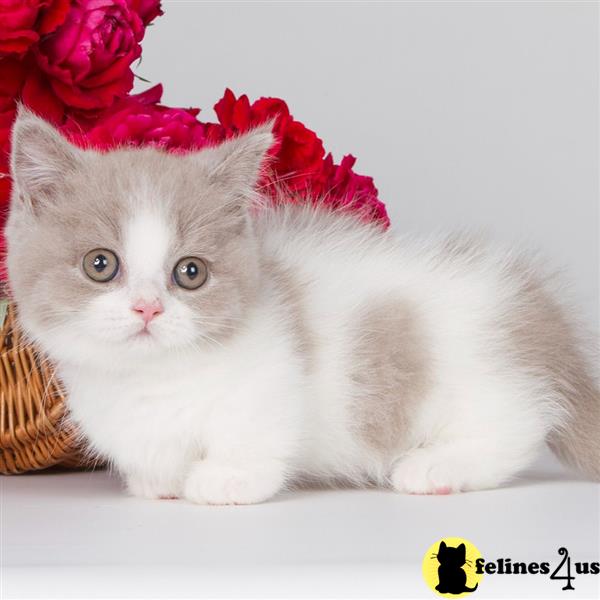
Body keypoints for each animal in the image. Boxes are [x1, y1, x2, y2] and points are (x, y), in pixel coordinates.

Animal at [5, 110, 600, 504]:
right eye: (100, 264)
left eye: (190, 273)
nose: (148, 309)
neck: (151, 379)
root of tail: (541, 316)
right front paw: (161, 481)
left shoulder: (272, 377)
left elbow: (257, 430)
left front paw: (227, 478)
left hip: (482, 378)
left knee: (515, 428)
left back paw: (437, 466)